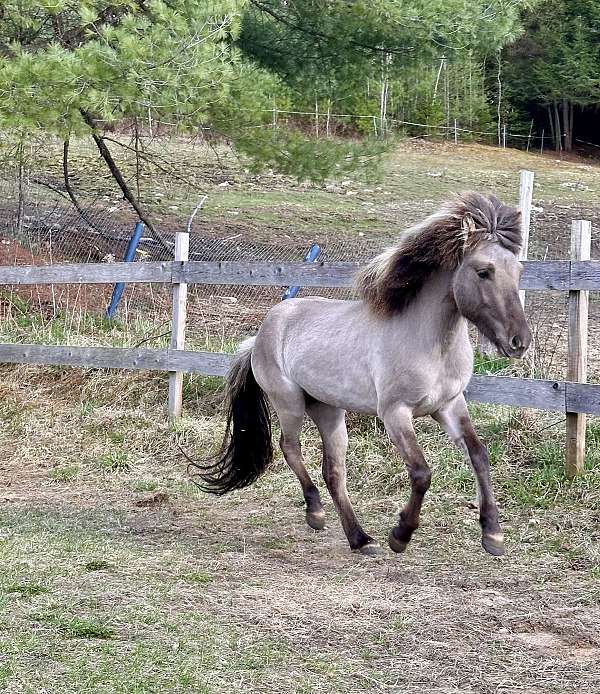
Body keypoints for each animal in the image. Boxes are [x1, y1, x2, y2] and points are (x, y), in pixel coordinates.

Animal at [191, 192, 532, 557]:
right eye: (484, 272)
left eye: (518, 271)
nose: (520, 342)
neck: (429, 342)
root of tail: (261, 333)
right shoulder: (395, 413)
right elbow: (421, 472)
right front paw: (400, 535)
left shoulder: (449, 405)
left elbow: (479, 455)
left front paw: (493, 535)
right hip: (289, 403)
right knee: (290, 448)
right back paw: (317, 514)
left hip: (328, 409)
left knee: (333, 472)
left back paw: (361, 539)